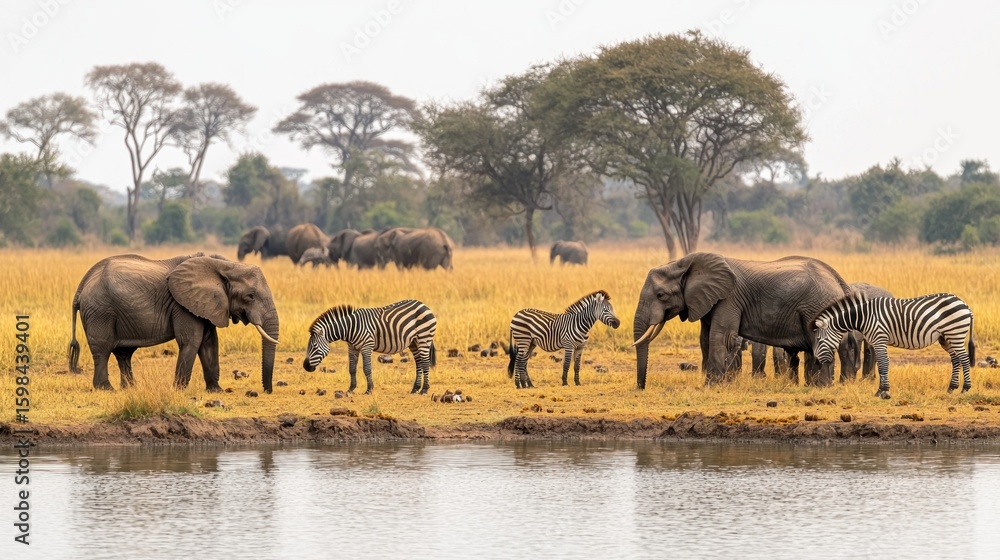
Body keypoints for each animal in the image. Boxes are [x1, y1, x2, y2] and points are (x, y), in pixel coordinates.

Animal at [68, 253, 280, 393]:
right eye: (250, 296)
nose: (266, 391)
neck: (224, 265)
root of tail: (81, 287)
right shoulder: (182, 305)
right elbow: (191, 341)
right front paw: (179, 391)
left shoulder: (205, 305)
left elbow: (209, 342)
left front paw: (216, 390)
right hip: (100, 311)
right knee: (103, 350)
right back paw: (106, 389)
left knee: (124, 354)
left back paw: (130, 388)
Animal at [303, 299, 437, 394]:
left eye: (314, 347)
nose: (305, 366)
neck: (350, 328)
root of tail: (423, 305)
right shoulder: (352, 348)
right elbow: (352, 369)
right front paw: (351, 389)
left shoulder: (367, 346)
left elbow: (367, 368)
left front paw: (369, 389)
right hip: (414, 342)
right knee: (419, 363)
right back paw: (415, 389)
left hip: (424, 338)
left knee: (425, 362)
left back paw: (424, 390)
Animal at [632, 253, 852, 388]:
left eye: (661, 295)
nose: (641, 388)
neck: (683, 263)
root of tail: (839, 280)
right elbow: (704, 339)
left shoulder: (729, 298)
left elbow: (720, 337)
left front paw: (711, 386)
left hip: (818, 306)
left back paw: (822, 387)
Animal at [813, 293, 975, 399]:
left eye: (819, 340)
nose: (817, 362)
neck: (864, 317)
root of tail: (964, 304)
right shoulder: (875, 342)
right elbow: (880, 366)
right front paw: (881, 391)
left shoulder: (879, 339)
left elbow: (884, 365)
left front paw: (883, 392)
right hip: (946, 338)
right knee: (955, 360)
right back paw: (951, 388)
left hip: (955, 333)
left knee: (964, 359)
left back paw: (965, 388)